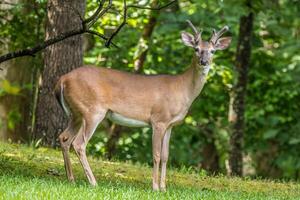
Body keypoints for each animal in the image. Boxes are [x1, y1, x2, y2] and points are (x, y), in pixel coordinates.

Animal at [54, 19, 232, 191]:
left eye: (212, 51)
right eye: (196, 49)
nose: (204, 62)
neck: (182, 89)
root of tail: (63, 79)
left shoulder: (170, 125)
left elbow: (166, 156)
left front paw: (164, 188)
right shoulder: (158, 120)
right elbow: (156, 155)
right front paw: (155, 187)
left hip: (76, 113)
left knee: (64, 138)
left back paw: (71, 179)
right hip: (92, 111)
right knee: (79, 143)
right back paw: (93, 182)